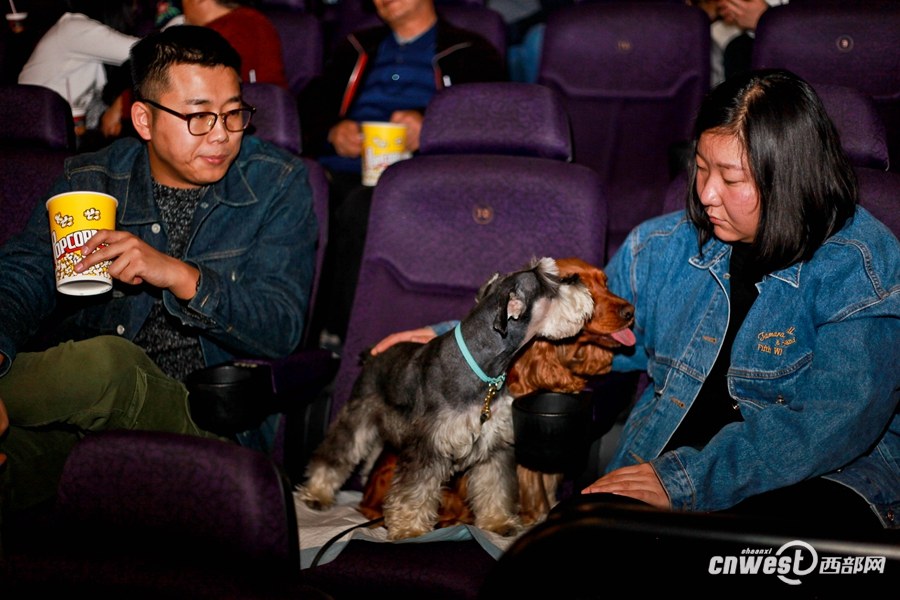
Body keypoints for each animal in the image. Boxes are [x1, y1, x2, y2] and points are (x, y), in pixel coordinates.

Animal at [298, 255, 596, 540]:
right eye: (550, 281)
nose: (579, 280)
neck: (483, 368)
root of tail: (372, 354)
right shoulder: (430, 445)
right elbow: (415, 490)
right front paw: (409, 529)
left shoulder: (495, 446)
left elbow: (495, 487)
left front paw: (498, 522)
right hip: (359, 416)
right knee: (336, 454)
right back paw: (317, 493)